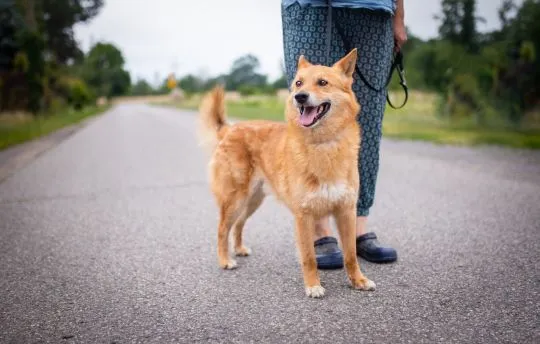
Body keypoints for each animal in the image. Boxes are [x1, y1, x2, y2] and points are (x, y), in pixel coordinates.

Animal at [197, 49, 376, 298]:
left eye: (322, 82)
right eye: (298, 83)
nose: (299, 97)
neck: (323, 144)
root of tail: (230, 129)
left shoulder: (346, 212)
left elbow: (350, 255)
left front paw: (358, 280)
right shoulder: (304, 216)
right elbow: (309, 258)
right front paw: (313, 285)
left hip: (252, 201)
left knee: (238, 224)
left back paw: (239, 249)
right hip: (235, 199)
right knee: (222, 228)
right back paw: (225, 260)